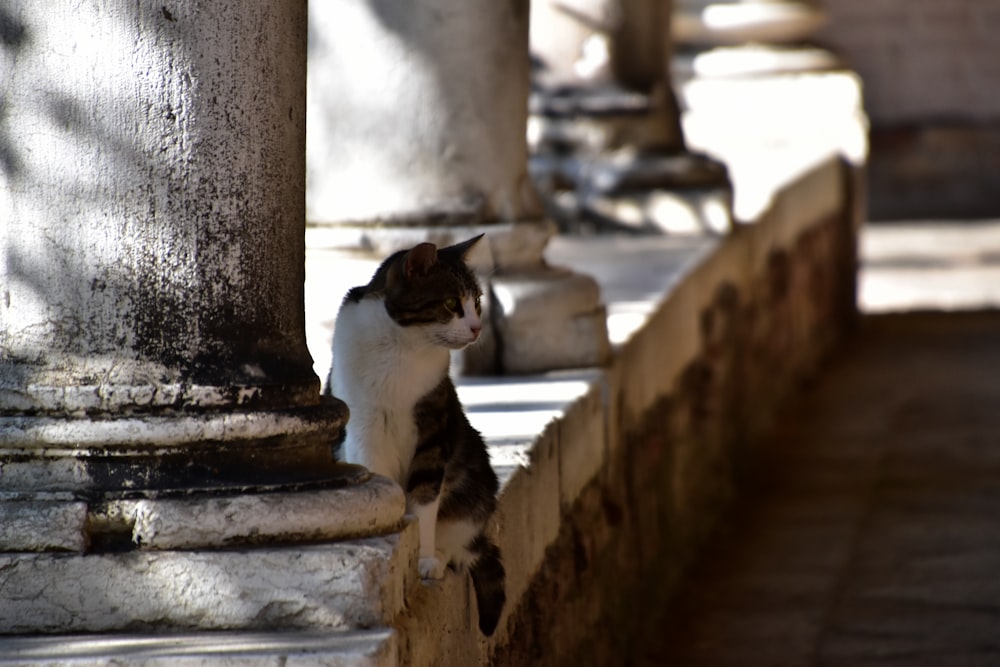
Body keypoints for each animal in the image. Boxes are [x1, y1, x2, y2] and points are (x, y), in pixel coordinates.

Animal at [324, 235, 504, 636]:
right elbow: (385, 484)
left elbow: (423, 500)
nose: (476, 328)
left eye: (477, 303)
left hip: (476, 482)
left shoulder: (433, 429)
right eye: (451, 304)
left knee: (463, 542)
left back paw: (440, 555)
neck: (402, 346)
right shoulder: (364, 424)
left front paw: (422, 559)